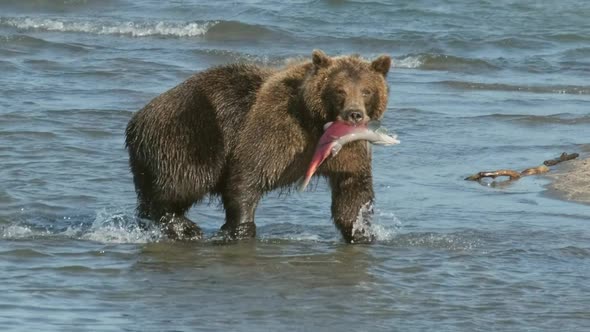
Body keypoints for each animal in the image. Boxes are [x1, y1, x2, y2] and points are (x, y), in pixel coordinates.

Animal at [125, 49, 394, 243]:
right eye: (339, 90)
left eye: (367, 90)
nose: (354, 114)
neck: (315, 123)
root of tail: (136, 120)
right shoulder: (276, 130)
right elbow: (248, 176)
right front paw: (240, 228)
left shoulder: (348, 149)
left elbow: (353, 188)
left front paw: (360, 231)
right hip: (188, 132)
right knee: (183, 182)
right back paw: (185, 227)